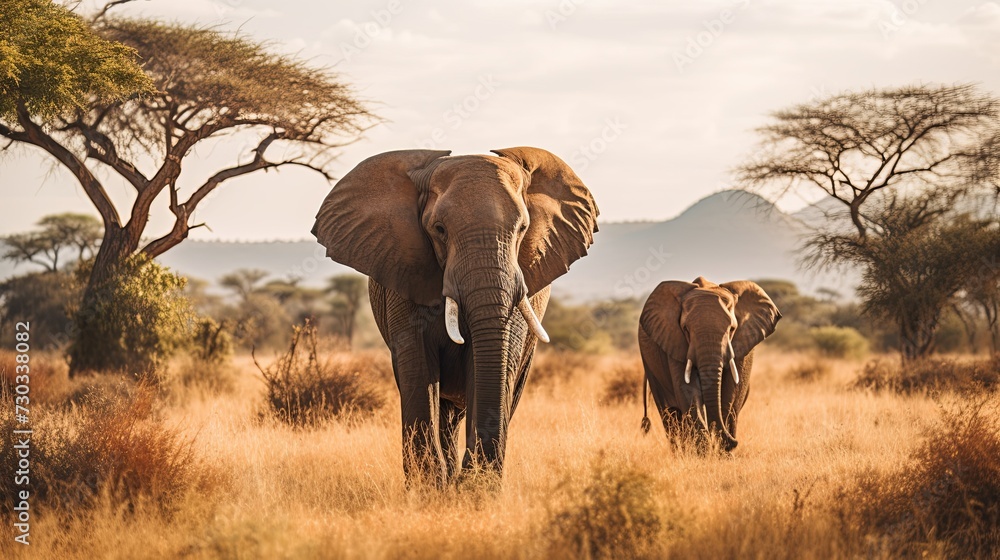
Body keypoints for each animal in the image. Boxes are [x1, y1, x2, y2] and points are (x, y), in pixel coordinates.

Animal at [312, 147, 599, 482]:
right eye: (439, 229)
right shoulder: (406, 270)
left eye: (523, 229)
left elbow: (492, 365)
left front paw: (476, 486)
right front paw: (430, 488)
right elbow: (418, 367)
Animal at [638, 277, 780, 451]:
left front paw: (723, 452)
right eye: (686, 329)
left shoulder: (742, 348)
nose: (734, 442)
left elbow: (731, 393)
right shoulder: (674, 341)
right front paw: (704, 453)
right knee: (669, 414)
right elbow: (688, 391)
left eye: (732, 329)